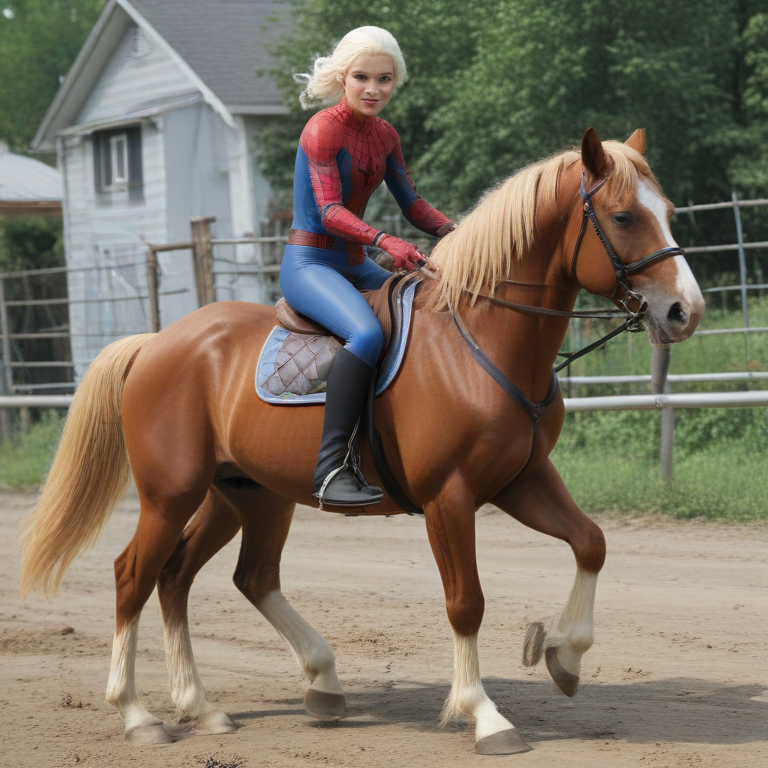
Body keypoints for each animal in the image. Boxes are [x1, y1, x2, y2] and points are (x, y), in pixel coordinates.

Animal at [18, 128, 704, 755]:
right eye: (623, 215)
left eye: (668, 211)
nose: (685, 312)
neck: (479, 336)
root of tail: (157, 343)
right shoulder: (450, 497)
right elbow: (466, 602)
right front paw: (484, 715)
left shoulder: (521, 481)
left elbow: (591, 542)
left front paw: (562, 651)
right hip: (171, 494)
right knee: (134, 575)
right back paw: (139, 715)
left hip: (245, 495)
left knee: (210, 577)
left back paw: (238, 699)